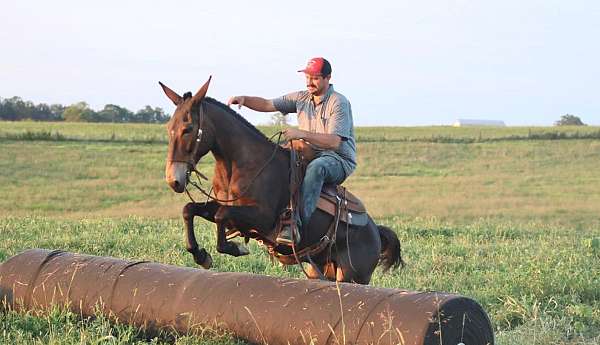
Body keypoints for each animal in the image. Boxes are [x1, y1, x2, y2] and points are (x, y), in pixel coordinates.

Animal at [161, 77, 404, 282]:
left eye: (188, 128)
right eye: (169, 127)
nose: (174, 180)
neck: (241, 164)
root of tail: (376, 232)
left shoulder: (262, 218)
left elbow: (221, 215)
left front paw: (235, 248)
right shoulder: (228, 210)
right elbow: (190, 209)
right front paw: (201, 255)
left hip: (353, 276)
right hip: (320, 269)